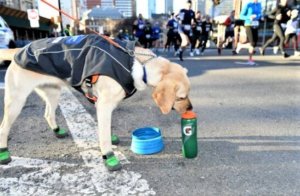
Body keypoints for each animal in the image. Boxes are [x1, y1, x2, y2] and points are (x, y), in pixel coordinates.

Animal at [0, 34, 192, 170]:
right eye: (181, 97)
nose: (190, 107)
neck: (137, 63)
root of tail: (18, 50)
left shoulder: (105, 105)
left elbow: (105, 128)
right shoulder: (104, 105)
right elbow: (104, 135)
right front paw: (108, 155)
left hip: (53, 92)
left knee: (48, 113)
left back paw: (57, 130)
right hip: (16, 101)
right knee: (3, 127)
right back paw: (4, 154)